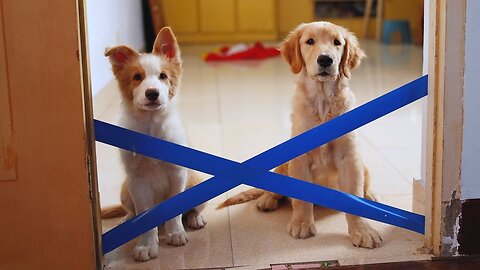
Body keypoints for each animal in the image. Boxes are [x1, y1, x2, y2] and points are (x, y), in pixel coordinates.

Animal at [102, 27, 205, 262]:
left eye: (163, 76)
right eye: (137, 77)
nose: (152, 93)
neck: (152, 127)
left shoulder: (177, 173)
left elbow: (176, 208)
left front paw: (176, 233)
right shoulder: (137, 181)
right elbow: (144, 216)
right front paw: (146, 245)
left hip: (195, 180)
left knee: (194, 208)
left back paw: (194, 219)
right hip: (125, 190)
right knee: (131, 211)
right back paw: (126, 221)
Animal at [220, 22, 382, 250]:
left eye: (337, 42)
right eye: (310, 41)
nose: (325, 60)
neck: (322, 102)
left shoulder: (349, 157)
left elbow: (354, 195)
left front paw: (362, 230)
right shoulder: (300, 159)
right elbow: (302, 199)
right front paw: (302, 224)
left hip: (363, 166)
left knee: (365, 184)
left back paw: (371, 194)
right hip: (284, 164)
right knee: (274, 189)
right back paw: (266, 200)